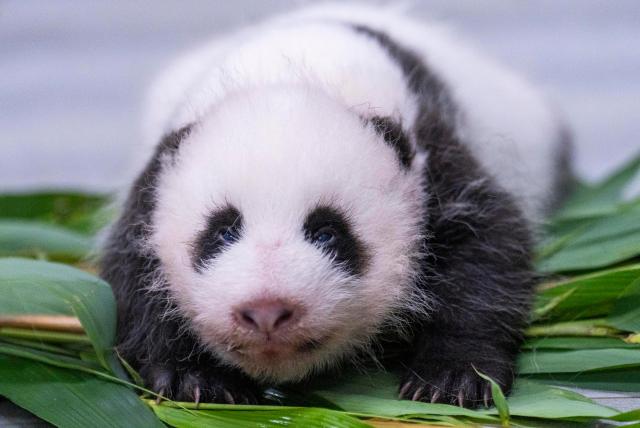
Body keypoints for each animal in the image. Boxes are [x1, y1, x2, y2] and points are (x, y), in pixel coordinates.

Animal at [100, 3, 572, 408]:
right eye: (223, 231)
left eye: (327, 232)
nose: (266, 312)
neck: (293, 71)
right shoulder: (155, 181)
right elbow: (132, 274)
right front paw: (193, 378)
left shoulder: (434, 161)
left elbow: (485, 250)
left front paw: (453, 378)